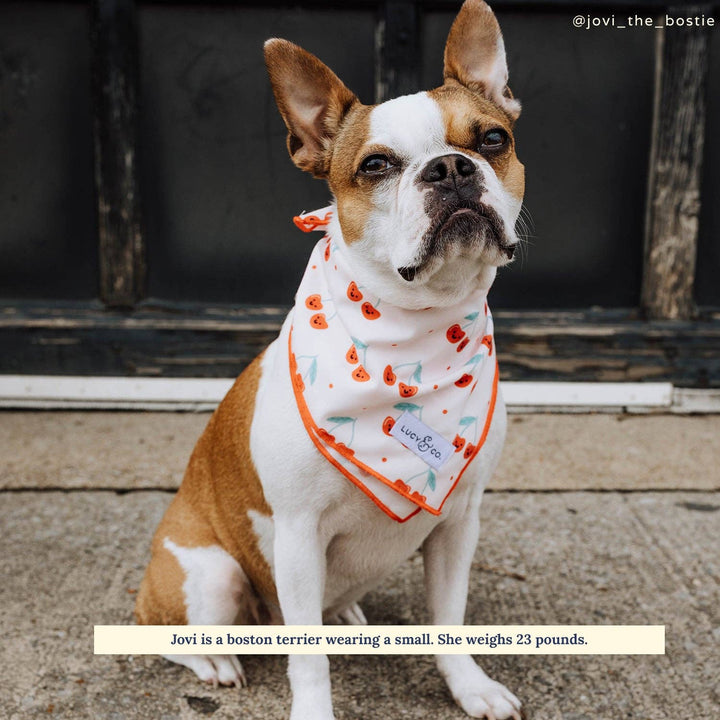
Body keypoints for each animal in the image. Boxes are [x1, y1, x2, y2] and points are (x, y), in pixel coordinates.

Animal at [136, 2, 524, 716]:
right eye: (375, 166)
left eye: (491, 140)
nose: (451, 168)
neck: (417, 327)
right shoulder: (295, 536)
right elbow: (308, 657)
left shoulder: (458, 522)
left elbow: (449, 621)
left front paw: (469, 688)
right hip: (214, 574)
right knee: (170, 630)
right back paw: (214, 661)